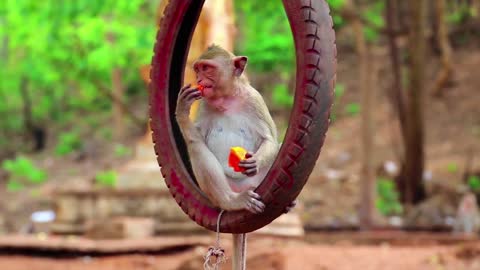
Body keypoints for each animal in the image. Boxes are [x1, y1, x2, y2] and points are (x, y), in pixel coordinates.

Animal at [176, 44, 280, 213]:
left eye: (206, 68)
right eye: (198, 69)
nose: (199, 79)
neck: (227, 99)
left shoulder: (255, 100)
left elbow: (269, 139)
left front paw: (255, 161)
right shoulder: (204, 104)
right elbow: (197, 139)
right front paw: (182, 109)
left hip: (255, 181)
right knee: (197, 148)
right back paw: (231, 201)